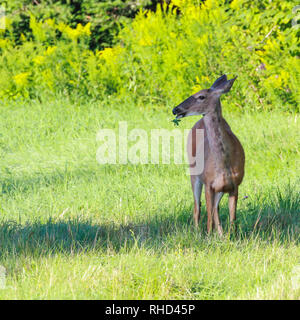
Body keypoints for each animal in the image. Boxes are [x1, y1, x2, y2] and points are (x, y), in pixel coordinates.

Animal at [172, 74, 245, 235]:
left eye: (201, 96)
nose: (175, 109)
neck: (224, 163)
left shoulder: (234, 185)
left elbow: (232, 218)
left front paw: (230, 236)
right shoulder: (208, 183)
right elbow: (209, 216)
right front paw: (208, 236)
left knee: (214, 209)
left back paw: (220, 234)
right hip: (194, 174)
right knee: (197, 207)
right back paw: (197, 232)